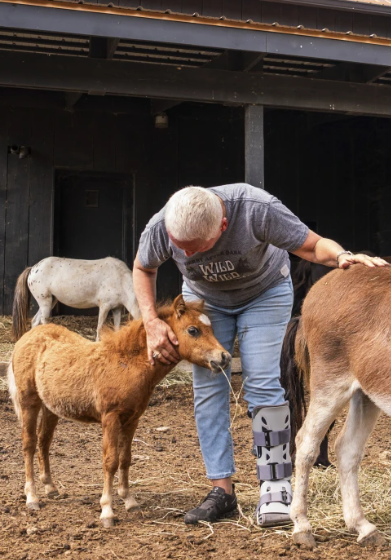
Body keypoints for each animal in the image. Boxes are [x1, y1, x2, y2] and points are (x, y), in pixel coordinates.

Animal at [9, 296, 231, 528]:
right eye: (193, 330)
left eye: (211, 328)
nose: (224, 357)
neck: (127, 364)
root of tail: (25, 337)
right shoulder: (110, 418)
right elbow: (111, 461)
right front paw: (107, 511)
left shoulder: (132, 419)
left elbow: (125, 458)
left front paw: (129, 500)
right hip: (28, 401)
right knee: (29, 444)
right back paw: (32, 497)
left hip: (50, 407)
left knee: (44, 441)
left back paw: (51, 488)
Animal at [12, 258, 141, 342]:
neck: (120, 278)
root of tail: (33, 268)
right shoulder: (104, 306)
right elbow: (100, 326)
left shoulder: (117, 308)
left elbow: (117, 328)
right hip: (45, 301)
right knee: (43, 319)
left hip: (51, 301)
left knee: (35, 321)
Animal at [290, 264, 390, 548]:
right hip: (330, 384)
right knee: (306, 444)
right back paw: (302, 526)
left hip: (366, 394)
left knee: (347, 449)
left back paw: (362, 527)